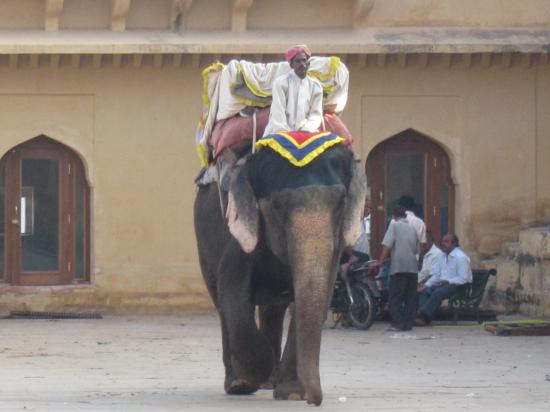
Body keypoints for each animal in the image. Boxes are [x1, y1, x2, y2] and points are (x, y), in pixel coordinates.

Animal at [194, 143, 366, 406]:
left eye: (341, 202)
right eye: (276, 206)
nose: (314, 400)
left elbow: (320, 294)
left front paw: (292, 394)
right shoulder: (240, 231)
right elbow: (232, 292)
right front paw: (252, 376)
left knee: (273, 308)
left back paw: (270, 381)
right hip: (203, 241)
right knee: (222, 304)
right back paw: (242, 383)